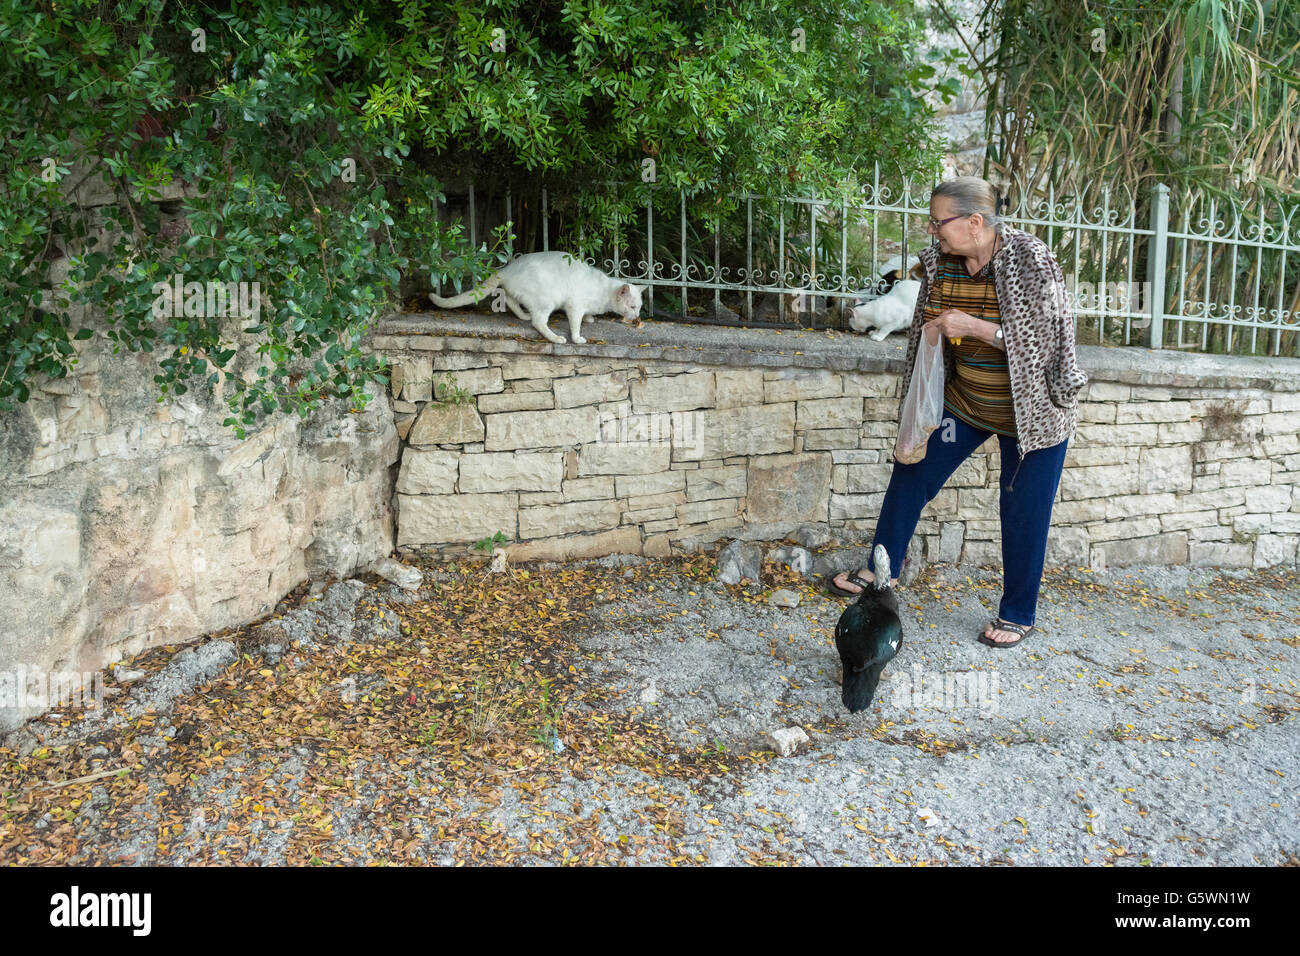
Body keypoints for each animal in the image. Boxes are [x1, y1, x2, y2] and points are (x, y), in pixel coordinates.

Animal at [428, 252, 647, 345]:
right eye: (632, 307)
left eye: (638, 307)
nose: (637, 317)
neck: (604, 292)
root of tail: (508, 268)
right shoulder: (574, 306)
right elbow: (575, 324)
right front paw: (578, 337)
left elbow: (586, 316)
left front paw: (590, 318)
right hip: (547, 300)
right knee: (538, 322)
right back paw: (557, 338)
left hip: (520, 294)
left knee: (511, 300)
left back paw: (523, 315)